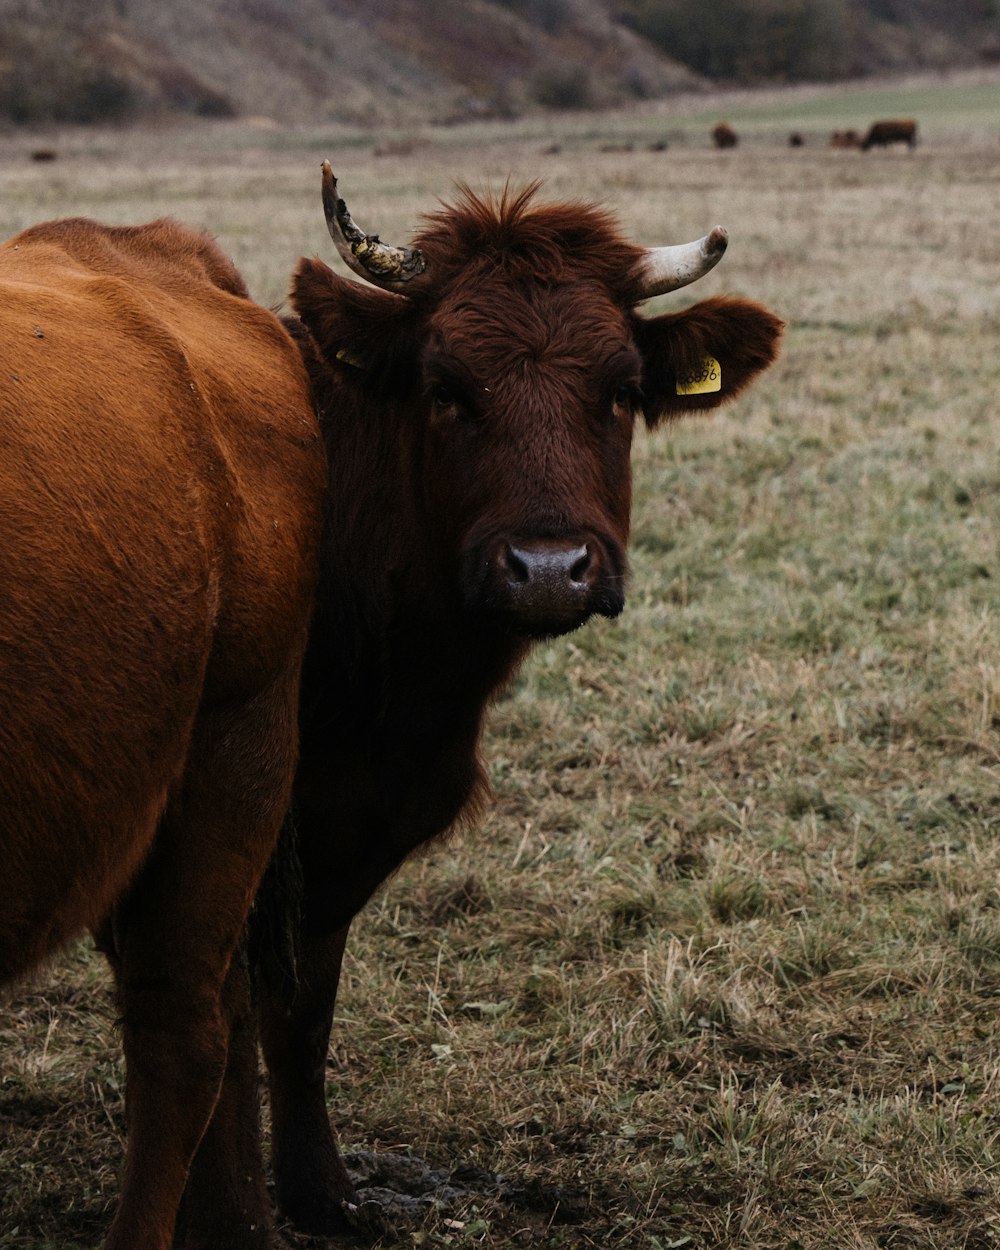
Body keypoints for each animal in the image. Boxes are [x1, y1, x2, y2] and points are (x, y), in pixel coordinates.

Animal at [172, 163, 785, 1240]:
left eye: (621, 391)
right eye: (446, 390)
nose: (547, 568)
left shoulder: (345, 830)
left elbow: (304, 1009)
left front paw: (322, 1190)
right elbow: (230, 1013)